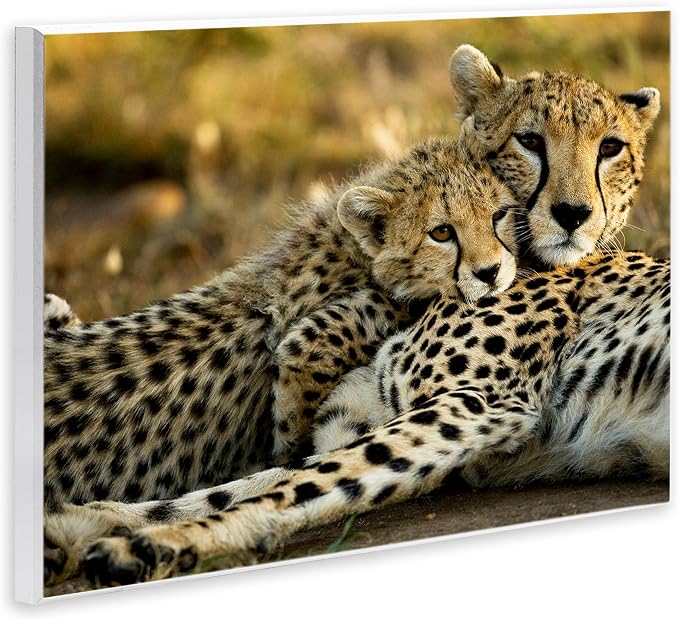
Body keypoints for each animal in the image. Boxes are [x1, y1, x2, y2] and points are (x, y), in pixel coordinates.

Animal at [43, 44, 663, 587]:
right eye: (530, 141)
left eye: (610, 149)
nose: (573, 214)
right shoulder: (381, 413)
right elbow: (260, 479)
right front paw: (88, 522)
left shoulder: (478, 405)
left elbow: (292, 486)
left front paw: (148, 544)